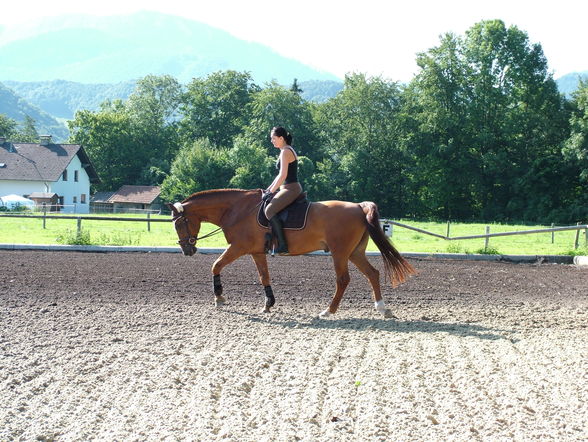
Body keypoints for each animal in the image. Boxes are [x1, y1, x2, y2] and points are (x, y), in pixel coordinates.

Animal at [168, 187, 416, 318]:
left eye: (179, 223)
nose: (187, 249)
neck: (237, 210)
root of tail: (358, 206)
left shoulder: (238, 247)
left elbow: (216, 265)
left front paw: (219, 297)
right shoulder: (256, 252)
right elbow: (264, 277)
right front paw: (268, 304)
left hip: (340, 252)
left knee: (343, 280)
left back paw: (328, 311)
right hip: (354, 252)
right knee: (372, 274)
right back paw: (381, 308)